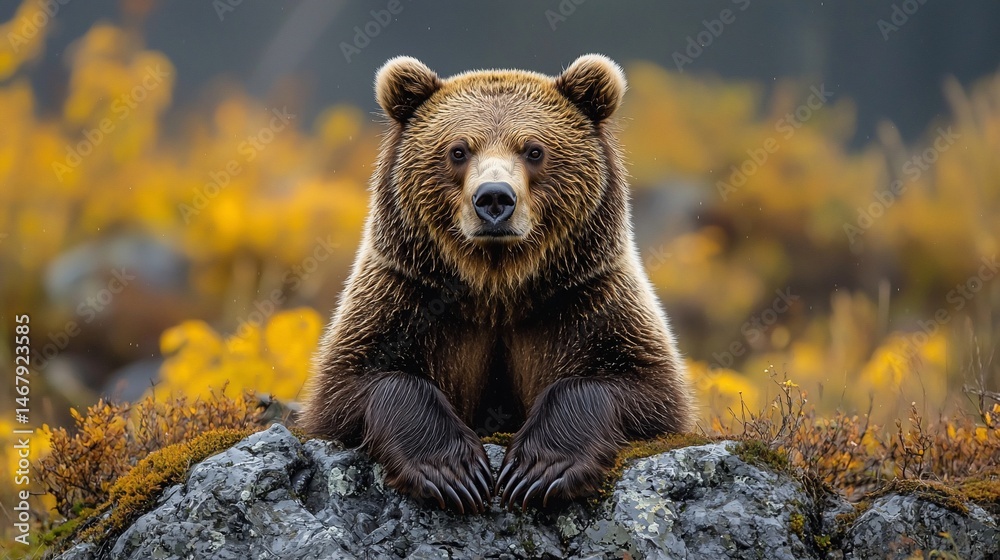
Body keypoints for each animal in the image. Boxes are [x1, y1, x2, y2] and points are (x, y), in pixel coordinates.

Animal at [299, 54, 695, 514]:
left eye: (534, 150)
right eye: (458, 150)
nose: (493, 198)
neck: (496, 289)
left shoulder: (587, 299)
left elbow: (647, 390)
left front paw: (538, 470)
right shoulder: (404, 295)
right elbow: (350, 387)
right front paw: (454, 472)